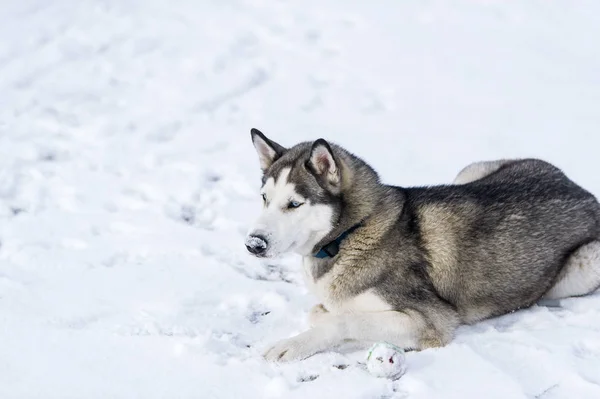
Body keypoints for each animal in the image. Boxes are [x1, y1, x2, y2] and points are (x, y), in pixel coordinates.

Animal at [244, 128, 600, 362]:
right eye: (264, 198)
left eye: (294, 204)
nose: (253, 244)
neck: (351, 234)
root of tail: (581, 190)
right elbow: (325, 311)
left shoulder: (431, 321)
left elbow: (343, 319)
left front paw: (294, 344)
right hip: (470, 172)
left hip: (586, 265)